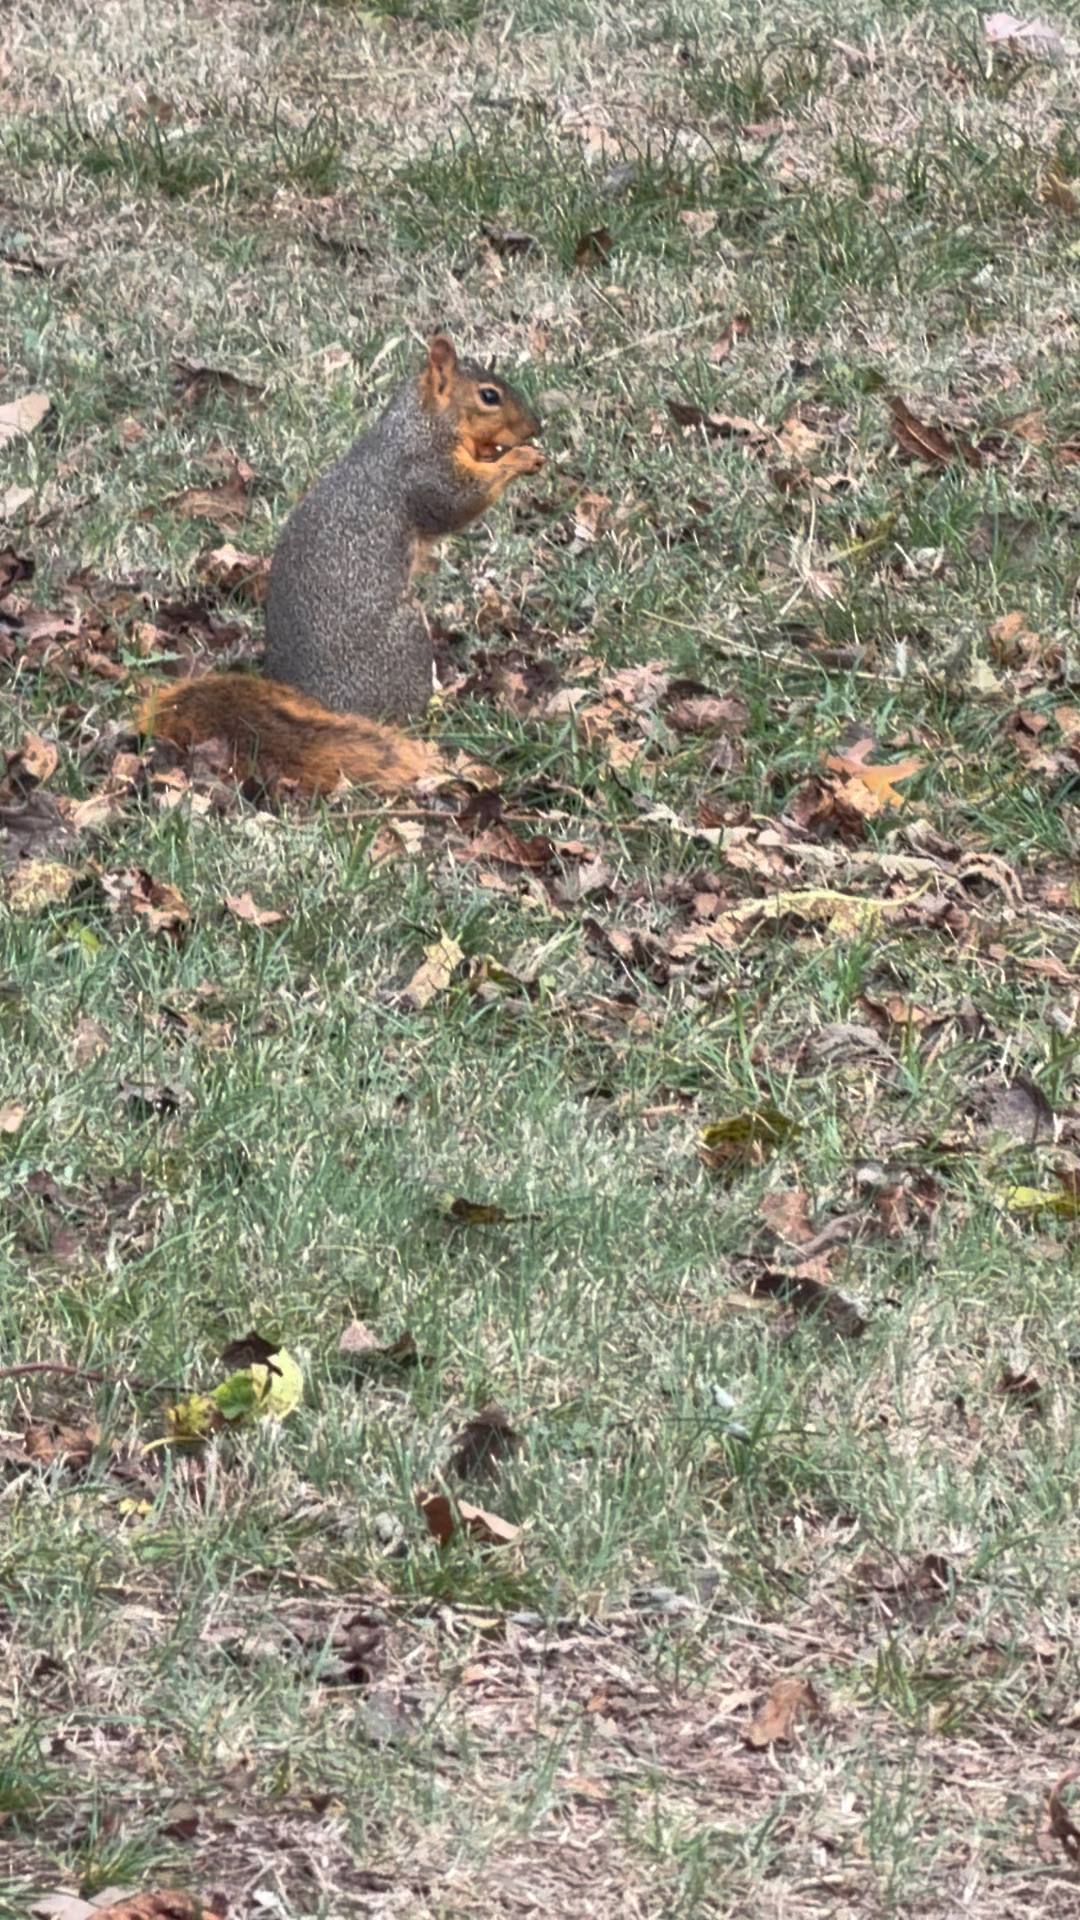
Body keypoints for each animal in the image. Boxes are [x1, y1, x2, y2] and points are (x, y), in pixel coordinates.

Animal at [138, 334, 543, 794]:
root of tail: (320, 708)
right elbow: (459, 503)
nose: (537, 428)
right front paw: (520, 458)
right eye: (489, 396)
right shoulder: (426, 473)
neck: (419, 424)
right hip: (404, 641)